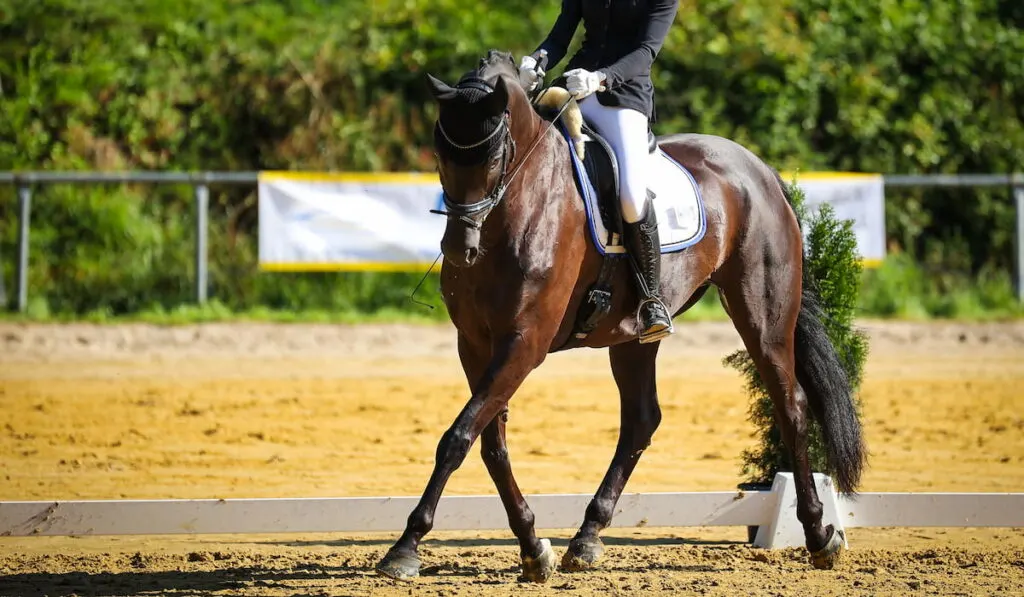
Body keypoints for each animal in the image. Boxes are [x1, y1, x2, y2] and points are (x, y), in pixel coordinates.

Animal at [376, 50, 864, 585]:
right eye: (441, 155)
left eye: (493, 155)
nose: (460, 249)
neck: (518, 208)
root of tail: (758, 168)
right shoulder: (476, 343)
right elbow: (489, 443)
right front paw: (533, 547)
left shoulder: (525, 342)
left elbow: (458, 437)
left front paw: (405, 548)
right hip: (634, 335)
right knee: (641, 419)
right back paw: (587, 537)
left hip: (763, 314)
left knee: (791, 405)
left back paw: (819, 536)